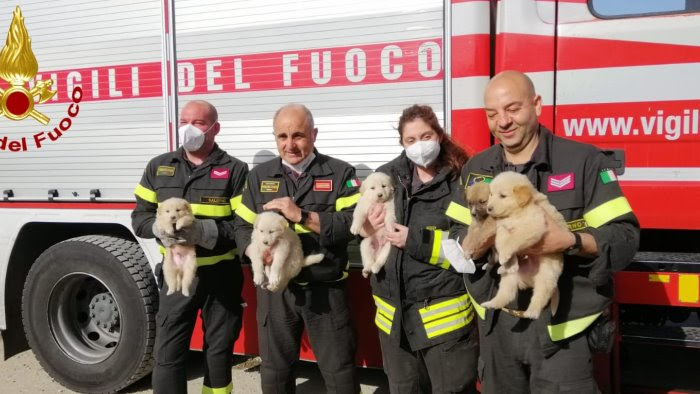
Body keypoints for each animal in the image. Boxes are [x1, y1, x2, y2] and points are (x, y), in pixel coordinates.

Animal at [482, 171, 568, 318]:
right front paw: (508, 261)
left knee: (541, 295)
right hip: (510, 279)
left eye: (502, 196)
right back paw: (492, 302)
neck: (516, 212)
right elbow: (502, 242)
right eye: (491, 195)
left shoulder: (534, 224)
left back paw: (531, 312)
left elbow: (513, 240)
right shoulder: (502, 229)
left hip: (546, 275)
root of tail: (529, 280)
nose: (489, 208)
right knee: (507, 294)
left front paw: (504, 256)